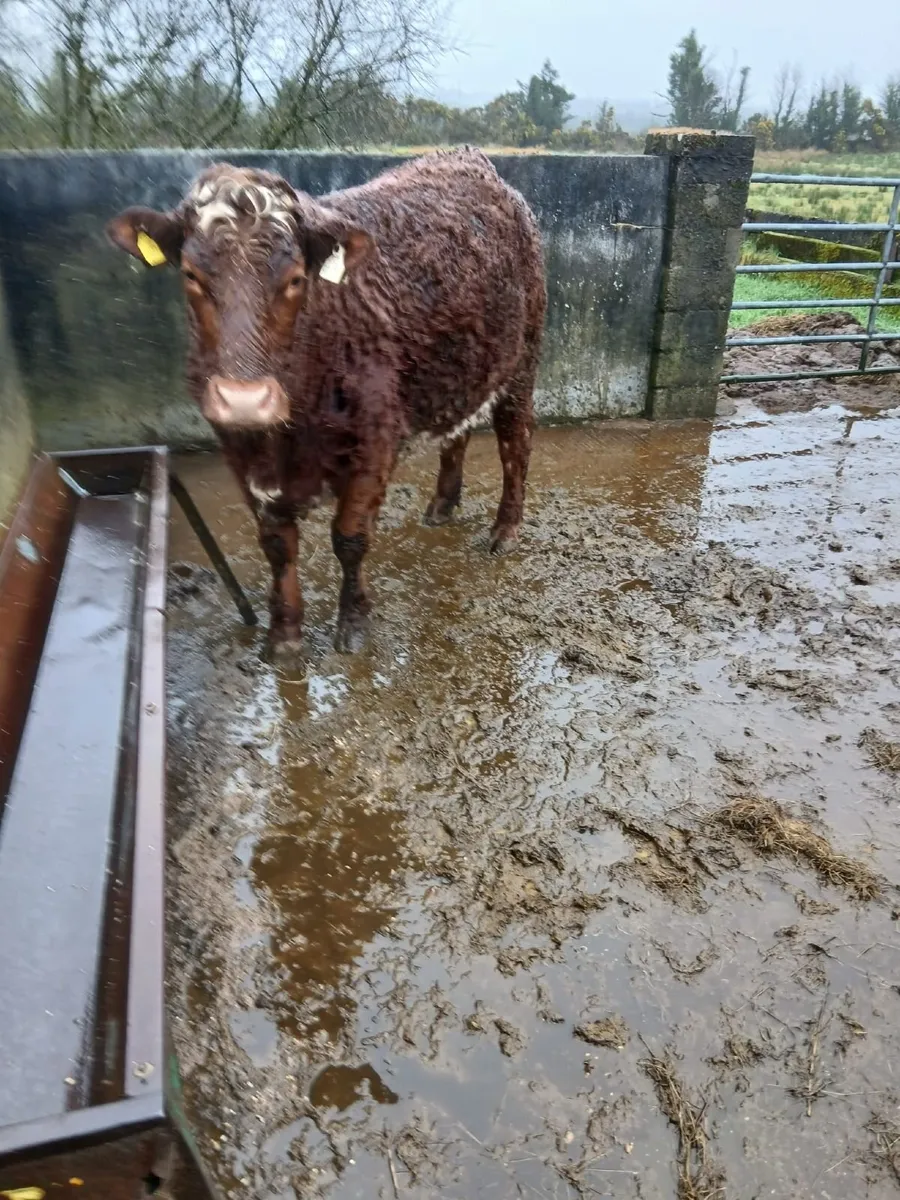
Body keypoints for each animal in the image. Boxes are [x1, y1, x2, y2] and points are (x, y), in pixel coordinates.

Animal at [106, 149, 546, 654]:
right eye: (190, 275)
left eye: (297, 279)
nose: (245, 399)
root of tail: (467, 157)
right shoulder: (240, 451)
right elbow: (277, 546)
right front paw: (284, 635)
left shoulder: (374, 442)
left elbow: (349, 538)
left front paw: (352, 624)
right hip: (463, 362)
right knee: (458, 430)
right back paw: (442, 504)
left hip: (523, 358)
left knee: (515, 442)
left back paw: (505, 530)